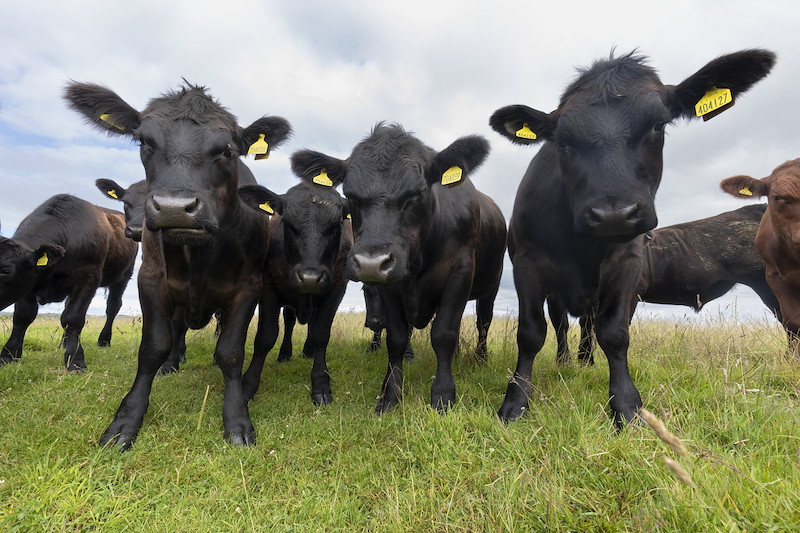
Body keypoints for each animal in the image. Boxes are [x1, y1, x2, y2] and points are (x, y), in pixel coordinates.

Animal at [0, 194, 137, 371]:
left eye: (6, 271)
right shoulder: (28, 284)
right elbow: (23, 315)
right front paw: (9, 354)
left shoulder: (88, 278)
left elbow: (73, 318)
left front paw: (75, 360)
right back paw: (63, 343)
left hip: (123, 276)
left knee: (112, 307)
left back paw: (104, 340)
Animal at [64, 81, 291, 449]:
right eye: (144, 141)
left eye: (228, 150)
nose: (174, 207)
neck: (198, 254)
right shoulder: (150, 280)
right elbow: (153, 347)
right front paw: (125, 421)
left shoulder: (249, 287)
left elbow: (230, 352)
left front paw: (237, 420)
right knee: (178, 330)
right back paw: (173, 362)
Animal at [236, 177, 352, 405]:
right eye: (288, 224)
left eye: (336, 226)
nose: (310, 278)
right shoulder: (269, 289)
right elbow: (265, 336)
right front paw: (248, 385)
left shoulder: (336, 290)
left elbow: (320, 334)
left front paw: (320, 384)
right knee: (289, 321)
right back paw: (285, 354)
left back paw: (308, 350)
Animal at [290, 123, 507, 413]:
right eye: (350, 196)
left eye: (417, 193)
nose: (371, 262)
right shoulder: (390, 288)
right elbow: (397, 339)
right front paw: (390, 395)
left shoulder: (459, 275)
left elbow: (444, 335)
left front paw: (442, 395)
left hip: (491, 286)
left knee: (484, 321)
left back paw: (480, 358)